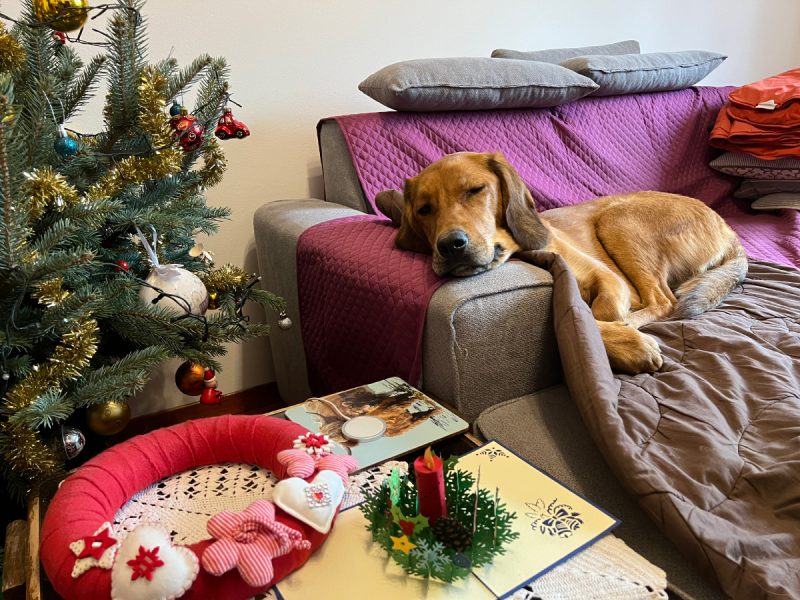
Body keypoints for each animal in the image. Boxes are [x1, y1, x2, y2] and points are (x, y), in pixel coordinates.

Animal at [378, 152, 748, 372]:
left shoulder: (608, 279)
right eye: (424, 209)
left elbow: (595, 313)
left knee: (663, 301)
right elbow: (581, 316)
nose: (451, 245)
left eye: (475, 190)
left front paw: (621, 335)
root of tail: (729, 230)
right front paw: (623, 341)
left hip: (617, 219)